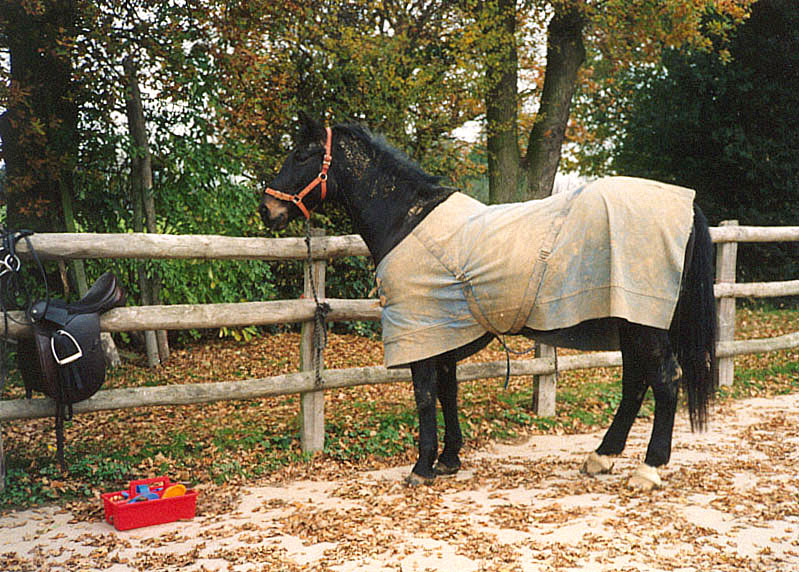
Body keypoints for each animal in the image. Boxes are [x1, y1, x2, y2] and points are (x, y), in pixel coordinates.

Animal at [260, 114, 720, 490]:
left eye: (302, 154)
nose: (267, 210)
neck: (407, 220)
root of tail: (686, 205)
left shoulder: (421, 333)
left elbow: (425, 396)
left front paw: (422, 467)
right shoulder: (441, 334)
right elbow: (447, 393)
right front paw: (449, 459)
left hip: (644, 324)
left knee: (665, 381)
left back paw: (648, 468)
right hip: (628, 323)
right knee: (635, 384)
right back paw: (602, 457)